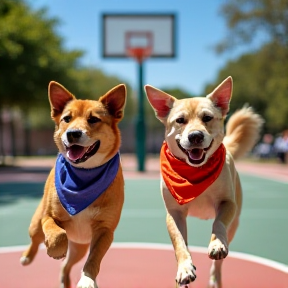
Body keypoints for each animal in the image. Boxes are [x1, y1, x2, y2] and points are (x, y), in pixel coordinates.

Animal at [20, 81, 126, 288]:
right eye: (66, 119)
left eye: (93, 119)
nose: (73, 133)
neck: (83, 175)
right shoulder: (49, 217)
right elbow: (58, 235)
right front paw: (55, 249)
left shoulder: (105, 230)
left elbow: (93, 259)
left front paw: (87, 280)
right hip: (36, 225)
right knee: (36, 240)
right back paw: (27, 257)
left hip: (80, 246)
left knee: (67, 265)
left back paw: (65, 279)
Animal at [145, 77, 264, 288]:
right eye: (180, 120)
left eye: (207, 118)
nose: (195, 136)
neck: (195, 171)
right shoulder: (174, 213)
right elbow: (180, 244)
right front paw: (184, 269)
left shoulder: (227, 203)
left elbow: (218, 224)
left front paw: (217, 244)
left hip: (235, 223)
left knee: (220, 257)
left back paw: (216, 278)